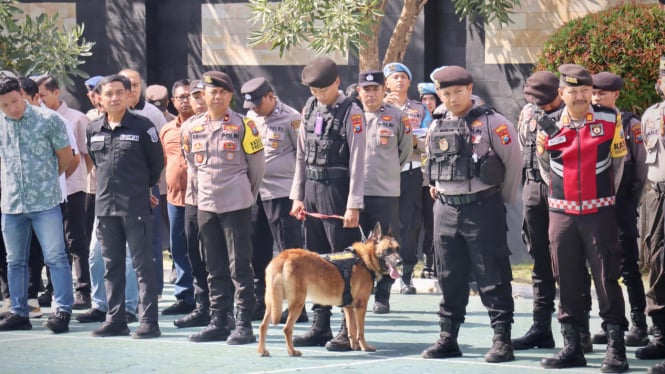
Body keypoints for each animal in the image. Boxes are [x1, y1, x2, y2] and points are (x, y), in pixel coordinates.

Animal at [255, 222, 400, 356]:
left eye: (397, 249)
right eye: (388, 250)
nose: (400, 262)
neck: (364, 258)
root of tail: (283, 256)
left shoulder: (348, 307)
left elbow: (352, 329)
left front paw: (354, 346)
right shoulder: (360, 306)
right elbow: (360, 331)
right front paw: (364, 347)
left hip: (273, 303)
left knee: (263, 326)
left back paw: (262, 351)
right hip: (297, 304)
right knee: (286, 329)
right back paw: (292, 351)